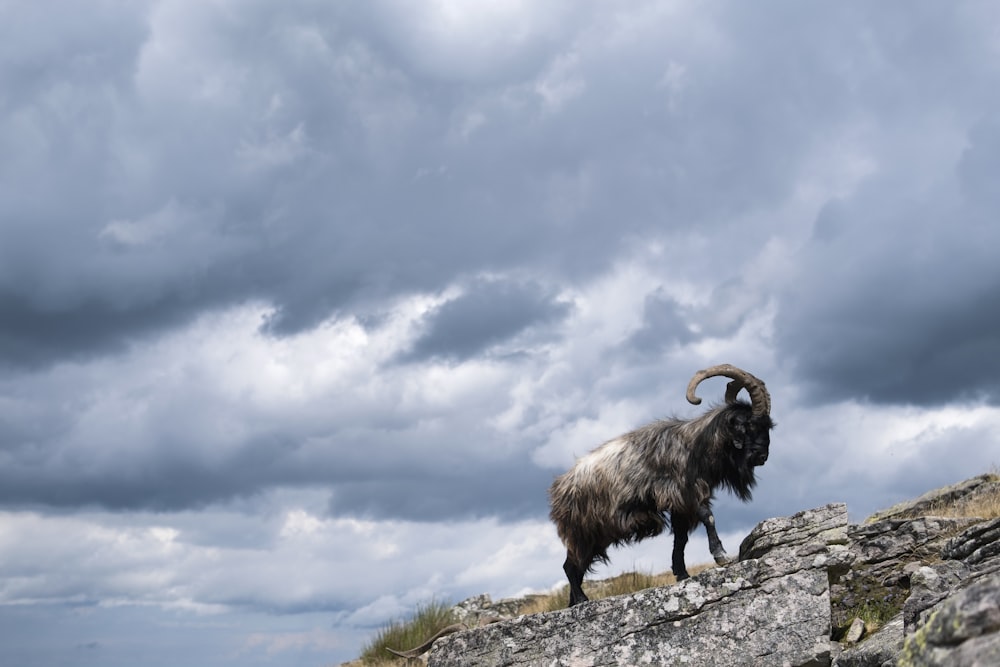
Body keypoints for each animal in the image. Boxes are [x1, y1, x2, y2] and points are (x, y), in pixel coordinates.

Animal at [548, 366, 772, 604]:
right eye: (751, 424)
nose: (763, 456)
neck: (694, 446)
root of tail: (558, 489)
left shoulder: (680, 506)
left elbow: (681, 538)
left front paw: (682, 574)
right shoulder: (685, 493)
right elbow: (707, 517)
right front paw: (721, 556)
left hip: (594, 536)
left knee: (575, 566)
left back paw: (574, 601)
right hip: (582, 532)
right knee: (570, 567)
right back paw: (582, 600)